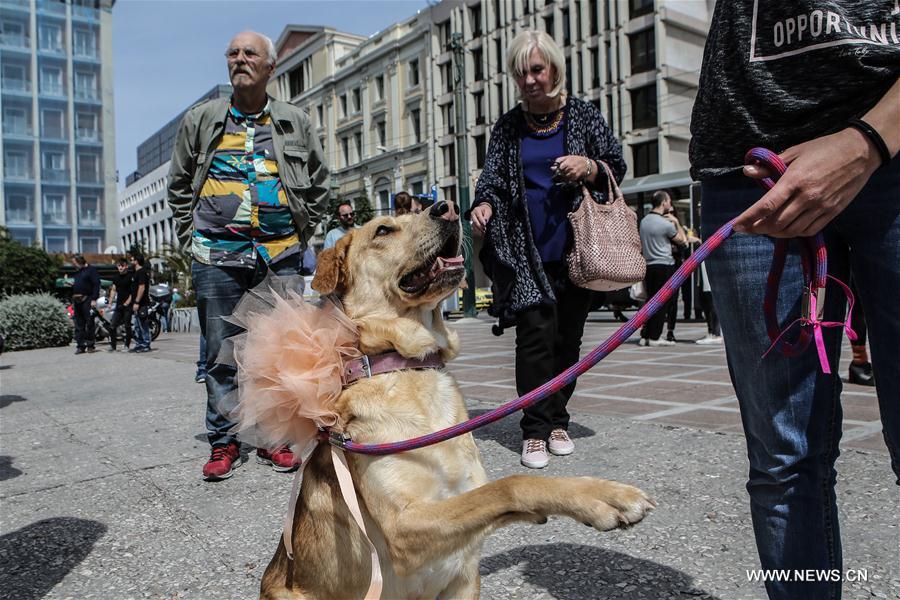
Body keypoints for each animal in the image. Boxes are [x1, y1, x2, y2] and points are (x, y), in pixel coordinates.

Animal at [260, 203, 652, 600]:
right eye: (383, 230)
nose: (446, 208)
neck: (411, 371)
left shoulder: (464, 573)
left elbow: (495, 496)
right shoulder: (402, 527)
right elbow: (512, 484)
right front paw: (601, 497)